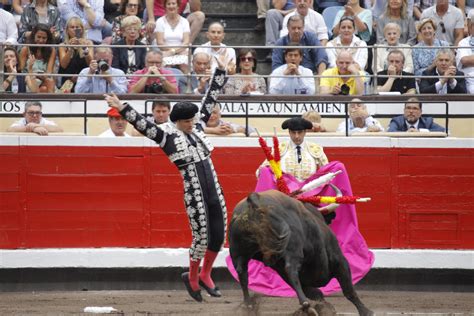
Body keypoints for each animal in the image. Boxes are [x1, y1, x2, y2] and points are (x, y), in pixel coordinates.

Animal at [230, 189, 374, 314]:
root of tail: (254, 200)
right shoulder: (339, 259)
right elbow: (348, 290)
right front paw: (366, 311)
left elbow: (317, 293)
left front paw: (324, 308)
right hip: (293, 250)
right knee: (291, 269)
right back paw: (305, 304)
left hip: (238, 252)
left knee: (242, 273)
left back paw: (248, 305)